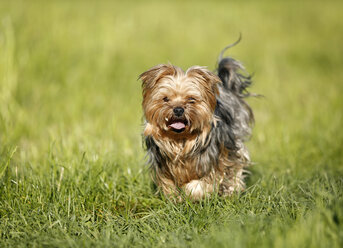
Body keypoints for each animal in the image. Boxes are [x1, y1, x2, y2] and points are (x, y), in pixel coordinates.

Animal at [140, 38, 255, 202]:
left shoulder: (214, 159)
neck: (180, 140)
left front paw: (192, 192)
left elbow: (201, 183)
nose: (178, 109)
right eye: (166, 99)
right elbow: (168, 183)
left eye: (191, 99)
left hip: (233, 141)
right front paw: (174, 198)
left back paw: (231, 191)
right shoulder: (162, 165)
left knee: (236, 166)